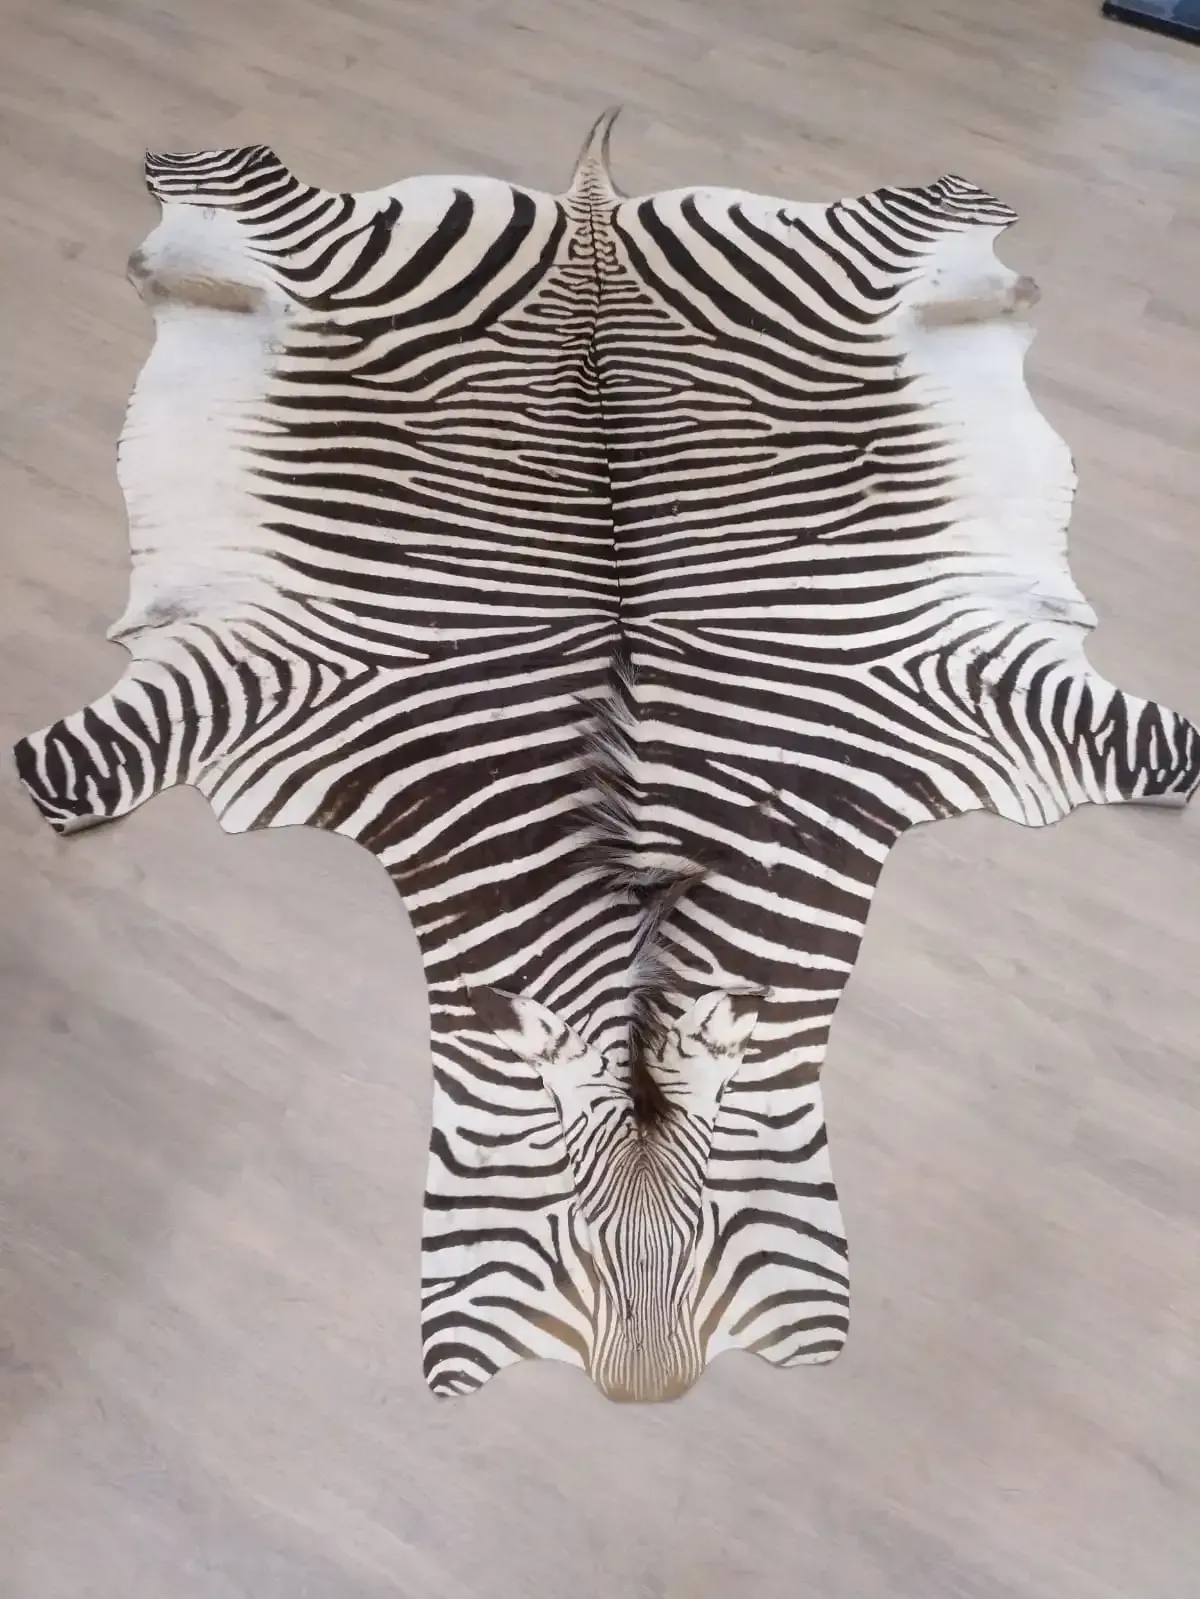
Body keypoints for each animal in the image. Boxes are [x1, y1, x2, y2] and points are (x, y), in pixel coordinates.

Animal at [13, 115, 1199, 1403]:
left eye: (730, 1228)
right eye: (552, 1234)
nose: (647, 1396)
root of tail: (591, 217)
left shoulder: (970, 683)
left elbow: (1159, 745)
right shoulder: (259, 680)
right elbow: (64, 768)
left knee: (931, 228)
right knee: (253, 208)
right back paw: (189, 189)